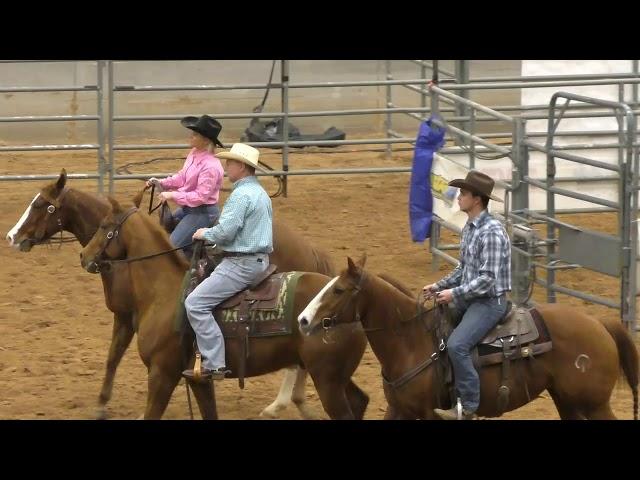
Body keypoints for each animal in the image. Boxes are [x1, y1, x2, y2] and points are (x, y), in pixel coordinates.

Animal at [5, 171, 368, 418]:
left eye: (42, 205)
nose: (12, 237)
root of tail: (310, 249)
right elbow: (112, 358)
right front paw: (102, 404)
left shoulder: (128, 319)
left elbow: (114, 358)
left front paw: (102, 405)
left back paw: (282, 403)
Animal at [300, 255, 640, 420]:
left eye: (338, 290)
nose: (303, 320)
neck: (410, 341)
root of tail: (600, 324)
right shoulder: (400, 409)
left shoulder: (431, 414)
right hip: (568, 401)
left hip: (595, 404)